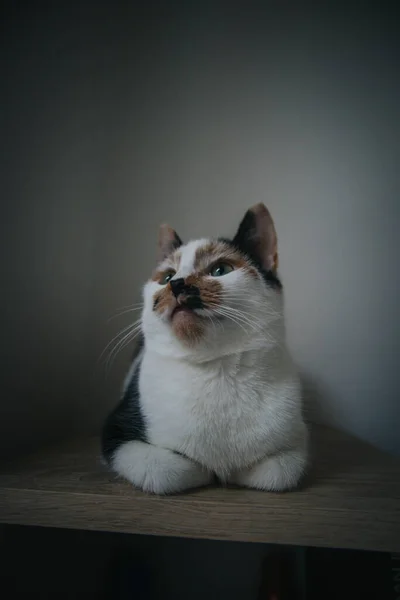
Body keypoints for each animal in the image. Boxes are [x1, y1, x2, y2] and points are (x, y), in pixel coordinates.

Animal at [101, 204, 308, 494]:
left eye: (220, 270)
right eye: (166, 277)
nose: (177, 283)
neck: (214, 369)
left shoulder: (296, 441)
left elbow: (279, 473)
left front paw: (233, 471)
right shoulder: (116, 431)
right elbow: (165, 471)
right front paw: (205, 470)